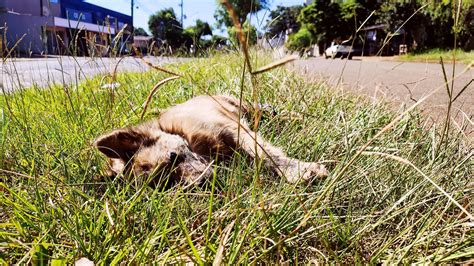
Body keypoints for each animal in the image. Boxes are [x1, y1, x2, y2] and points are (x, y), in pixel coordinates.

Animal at [94, 95, 328, 185]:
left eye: (173, 156)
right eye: (167, 185)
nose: (202, 184)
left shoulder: (235, 130)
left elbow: (266, 154)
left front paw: (297, 170)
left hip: (244, 108)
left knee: (269, 112)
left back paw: (296, 117)